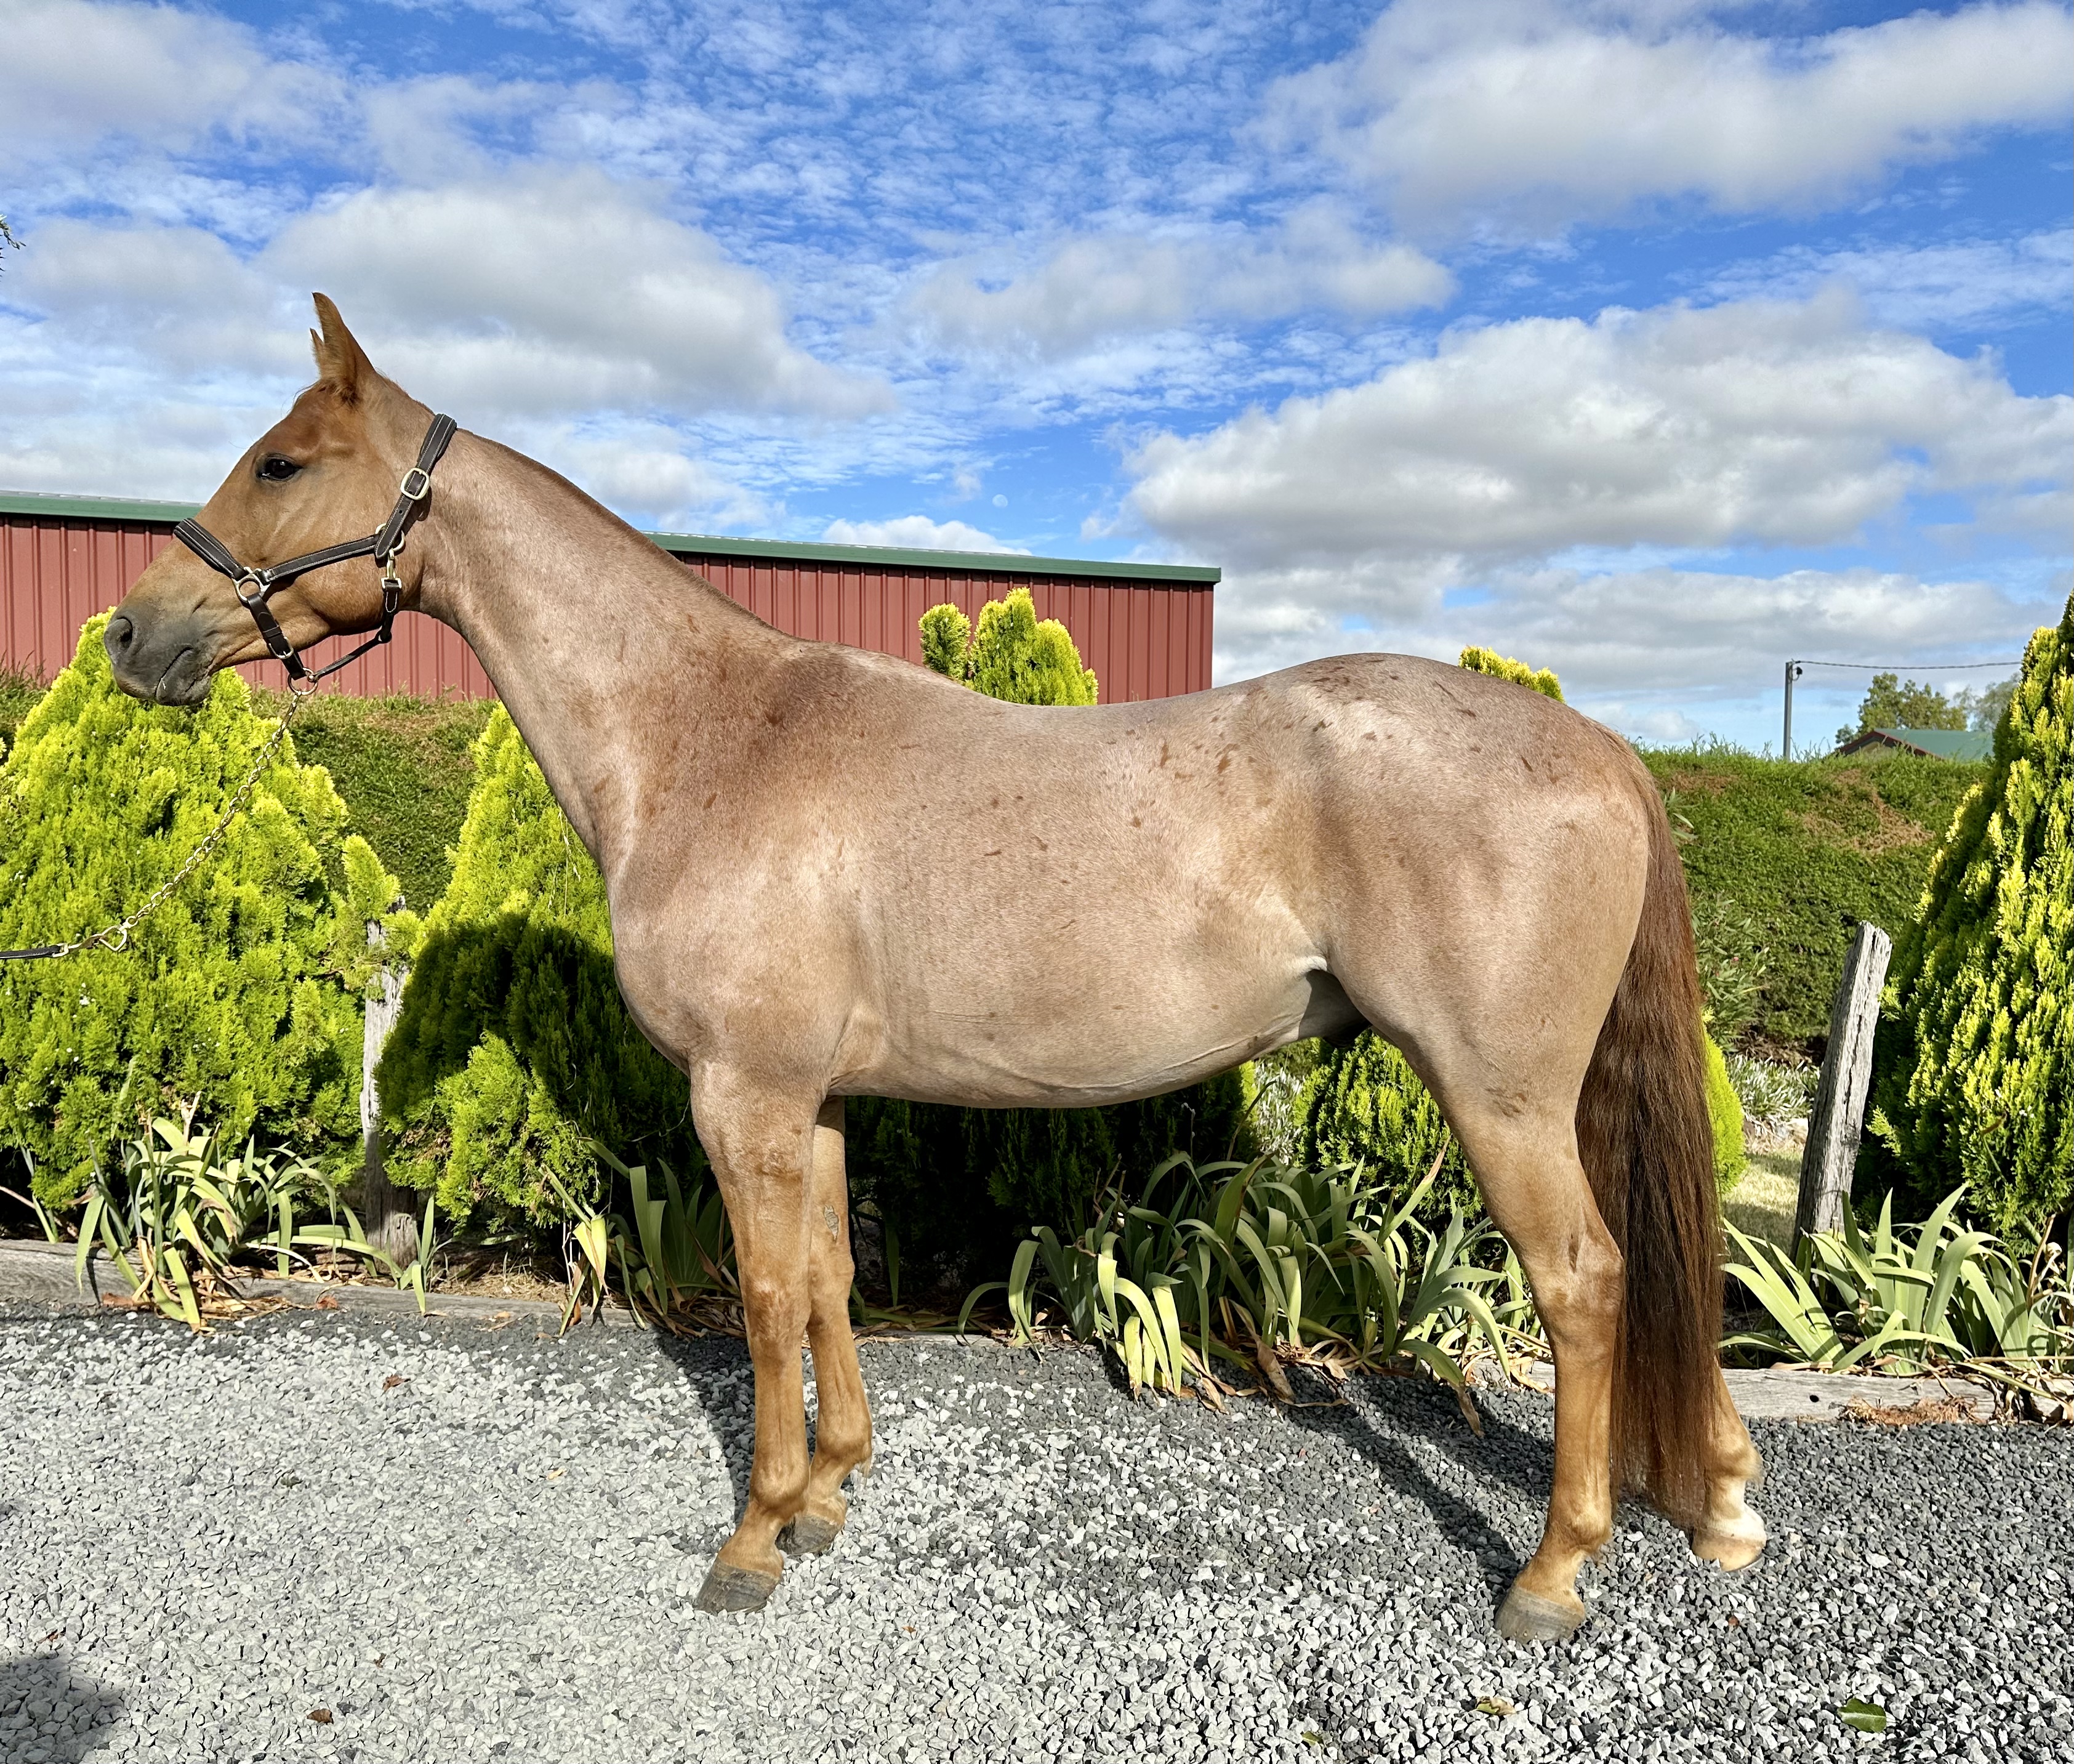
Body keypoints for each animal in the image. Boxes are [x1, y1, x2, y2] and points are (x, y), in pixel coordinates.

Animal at [105, 295, 1766, 1640]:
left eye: (280, 463)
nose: (131, 635)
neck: (709, 738)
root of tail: (1599, 746)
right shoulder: (815, 1099)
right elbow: (833, 1279)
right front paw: (832, 1494)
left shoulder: (743, 1096)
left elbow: (766, 1296)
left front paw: (754, 1537)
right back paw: (1720, 1494)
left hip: (1500, 1098)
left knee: (1584, 1281)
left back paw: (1550, 1573)